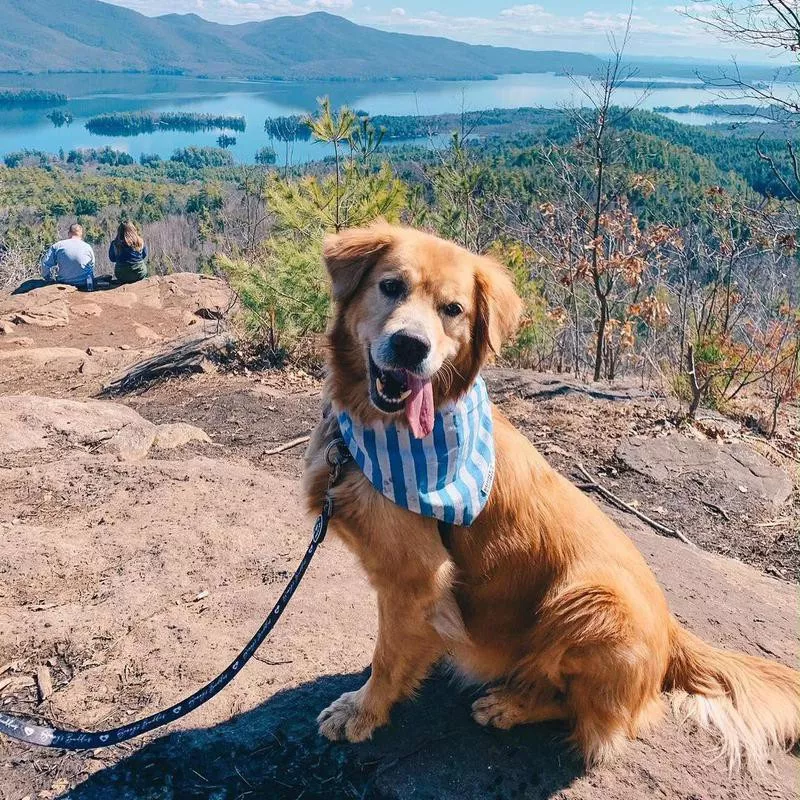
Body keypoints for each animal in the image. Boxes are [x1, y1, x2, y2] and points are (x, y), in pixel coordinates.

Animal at [302, 220, 800, 768]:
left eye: (452, 310)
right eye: (390, 286)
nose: (412, 346)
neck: (379, 432)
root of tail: (674, 633)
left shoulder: (416, 578)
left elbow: (388, 658)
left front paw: (362, 710)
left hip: (590, 601)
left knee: (592, 717)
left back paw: (511, 704)